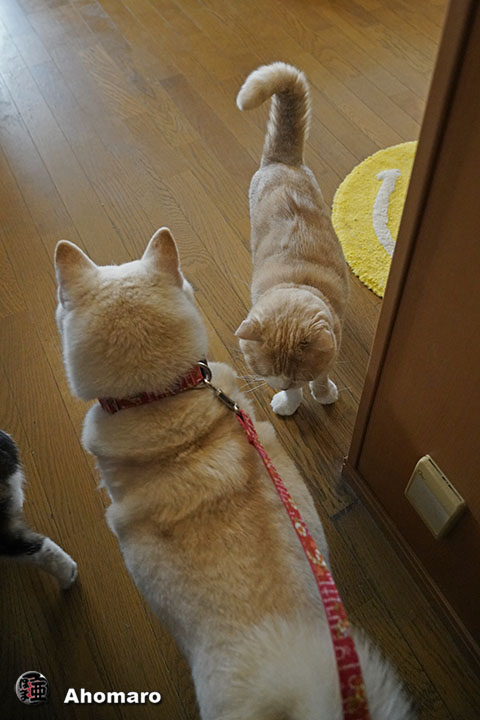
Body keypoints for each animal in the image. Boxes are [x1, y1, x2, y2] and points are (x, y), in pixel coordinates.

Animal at [235, 62, 349, 416]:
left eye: (298, 372)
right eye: (268, 371)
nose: (283, 382)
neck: (296, 282)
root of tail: (282, 162)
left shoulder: (332, 344)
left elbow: (322, 377)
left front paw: (321, 393)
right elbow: (296, 394)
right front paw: (290, 401)